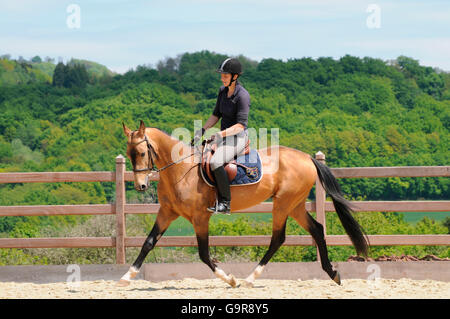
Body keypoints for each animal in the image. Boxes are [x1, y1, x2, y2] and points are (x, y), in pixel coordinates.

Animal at [118, 121, 368, 288]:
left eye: (142, 152)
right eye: (129, 155)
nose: (141, 186)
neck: (181, 170)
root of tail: (307, 158)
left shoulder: (200, 218)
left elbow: (203, 253)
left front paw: (230, 279)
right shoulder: (166, 213)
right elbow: (148, 243)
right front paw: (126, 276)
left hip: (283, 204)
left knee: (278, 238)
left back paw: (249, 279)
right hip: (295, 205)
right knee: (317, 229)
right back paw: (333, 273)